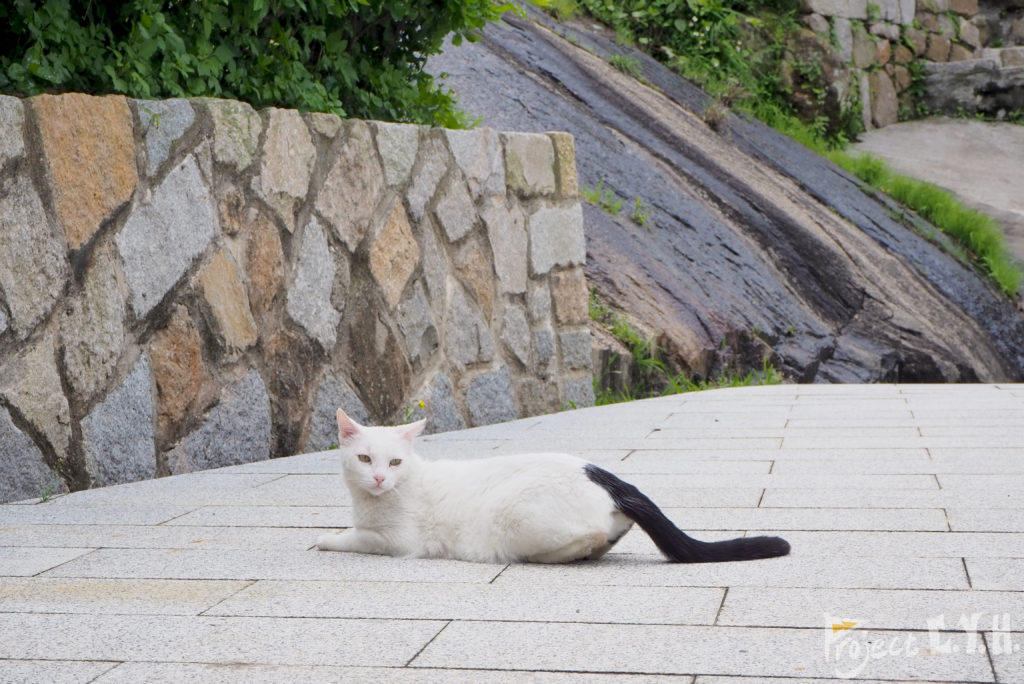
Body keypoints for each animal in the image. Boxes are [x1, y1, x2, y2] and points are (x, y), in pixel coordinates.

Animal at [317, 411, 790, 561]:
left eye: (395, 462)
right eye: (365, 460)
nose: (380, 477)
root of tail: (607, 476)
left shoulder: (396, 542)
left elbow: (353, 537)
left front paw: (325, 540)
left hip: (517, 515)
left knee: (591, 535)